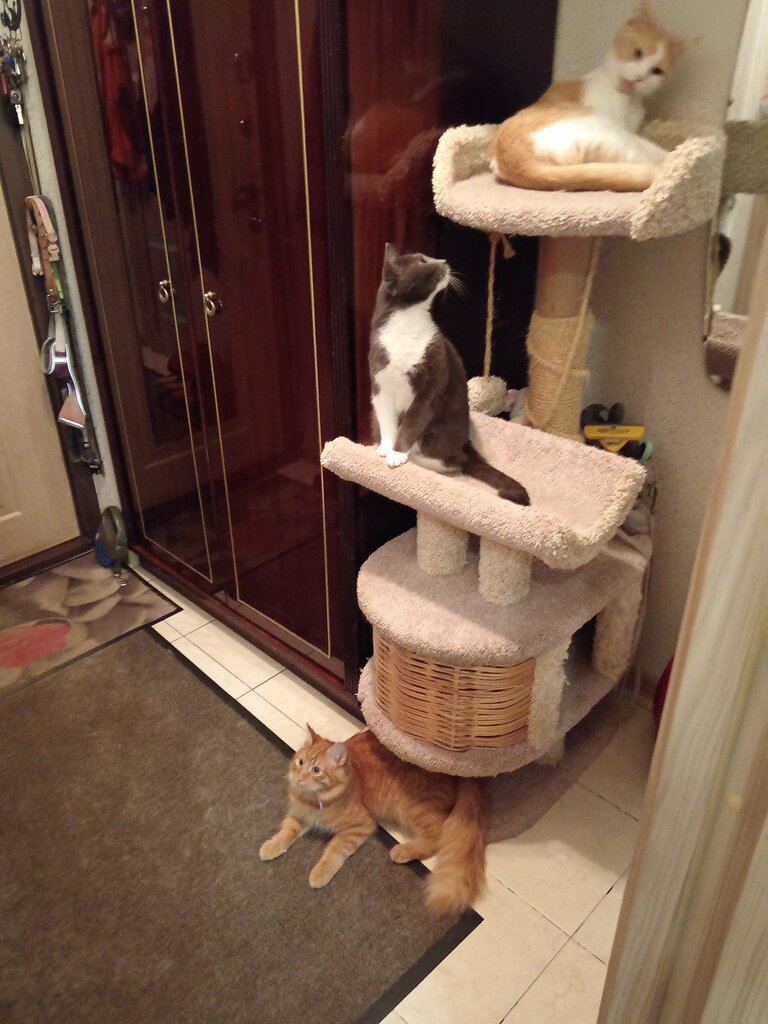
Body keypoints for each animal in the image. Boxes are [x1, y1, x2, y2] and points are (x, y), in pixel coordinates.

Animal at [260, 725, 486, 915]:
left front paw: (320, 873)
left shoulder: (361, 825)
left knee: (438, 833)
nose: (298, 778)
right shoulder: (299, 815)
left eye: (316, 770)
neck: (315, 801)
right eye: (300, 762)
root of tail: (455, 773)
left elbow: (334, 850)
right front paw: (271, 847)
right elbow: (286, 832)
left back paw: (403, 851)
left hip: (409, 808)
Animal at [369, 243, 530, 505]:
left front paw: (397, 453)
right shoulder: (380, 381)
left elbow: (414, 419)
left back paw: (417, 458)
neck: (406, 322)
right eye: (422, 260)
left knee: (454, 461)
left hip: (437, 435)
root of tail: (465, 444)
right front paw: (386, 447)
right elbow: (386, 418)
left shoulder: (433, 378)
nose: (445, 260)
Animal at [489, 5, 684, 192]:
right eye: (637, 53)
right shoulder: (624, 129)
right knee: (649, 156)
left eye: (657, 71)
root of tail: (513, 163)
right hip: (611, 134)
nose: (638, 78)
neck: (628, 100)